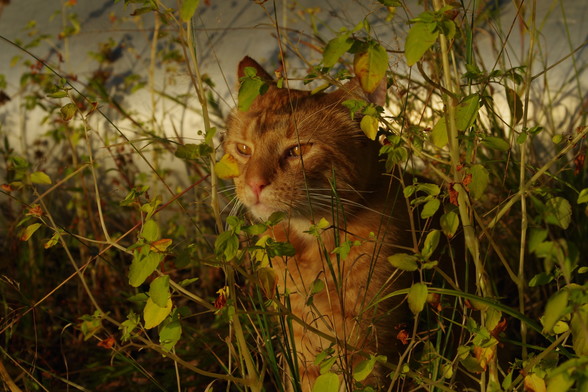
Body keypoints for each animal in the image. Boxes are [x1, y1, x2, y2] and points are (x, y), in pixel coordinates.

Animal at [225, 56, 436, 390]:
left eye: (298, 150)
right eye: (244, 149)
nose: (254, 183)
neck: (310, 248)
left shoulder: (365, 347)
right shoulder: (301, 343)